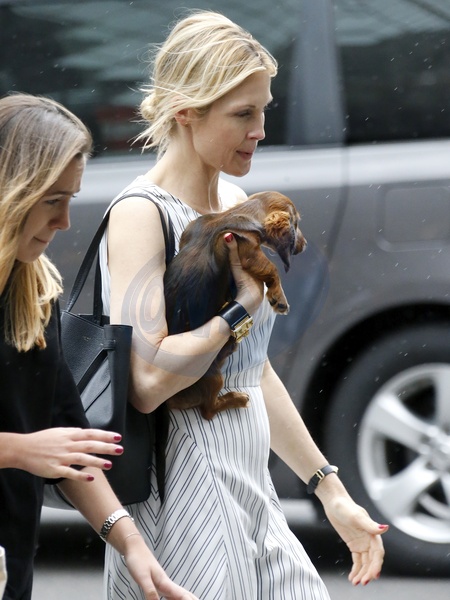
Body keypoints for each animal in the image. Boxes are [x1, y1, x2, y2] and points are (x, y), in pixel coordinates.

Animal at [163, 191, 306, 419]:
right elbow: (272, 269)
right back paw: (236, 399)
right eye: (296, 223)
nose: (305, 244)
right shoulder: (249, 251)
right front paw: (279, 298)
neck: (239, 213)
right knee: (209, 410)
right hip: (214, 377)